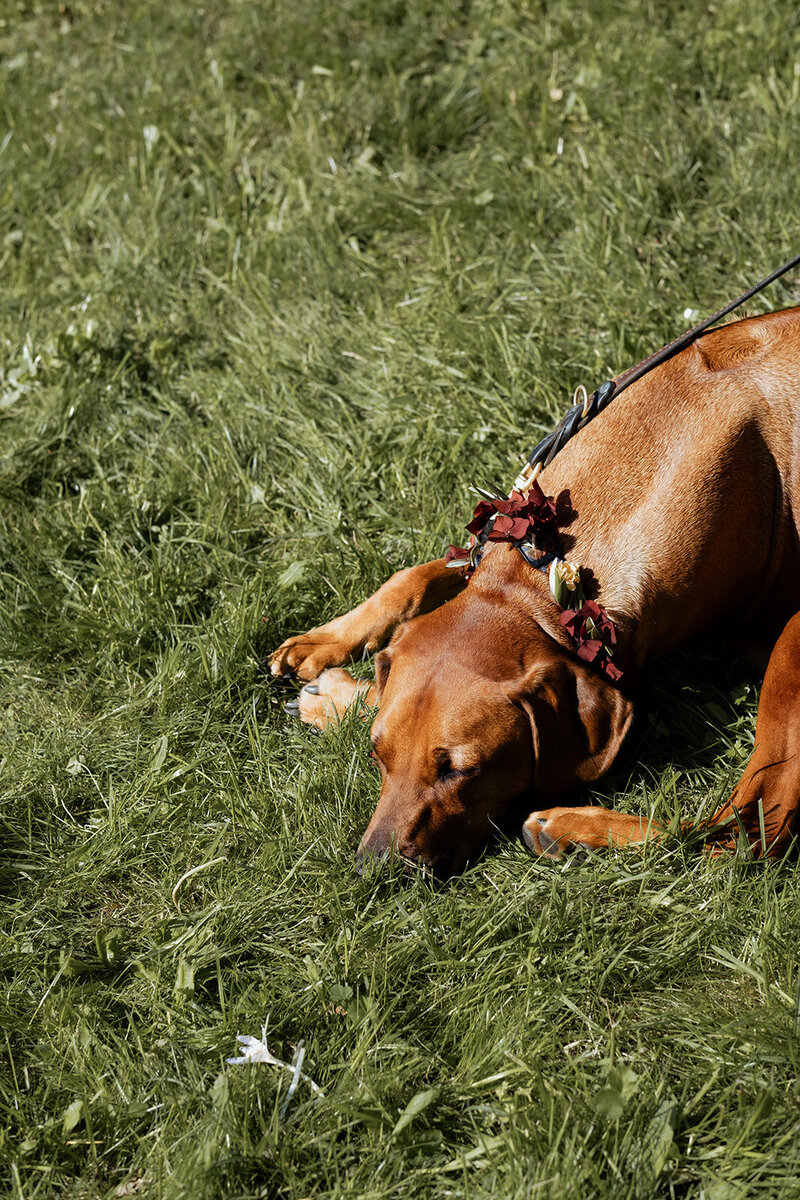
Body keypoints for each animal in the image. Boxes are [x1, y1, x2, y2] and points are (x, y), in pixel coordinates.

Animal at [272, 304, 800, 878]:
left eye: (463, 770)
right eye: (377, 755)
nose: (373, 869)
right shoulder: (500, 549)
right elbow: (412, 576)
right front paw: (332, 664)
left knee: (747, 833)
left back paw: (574, 827)